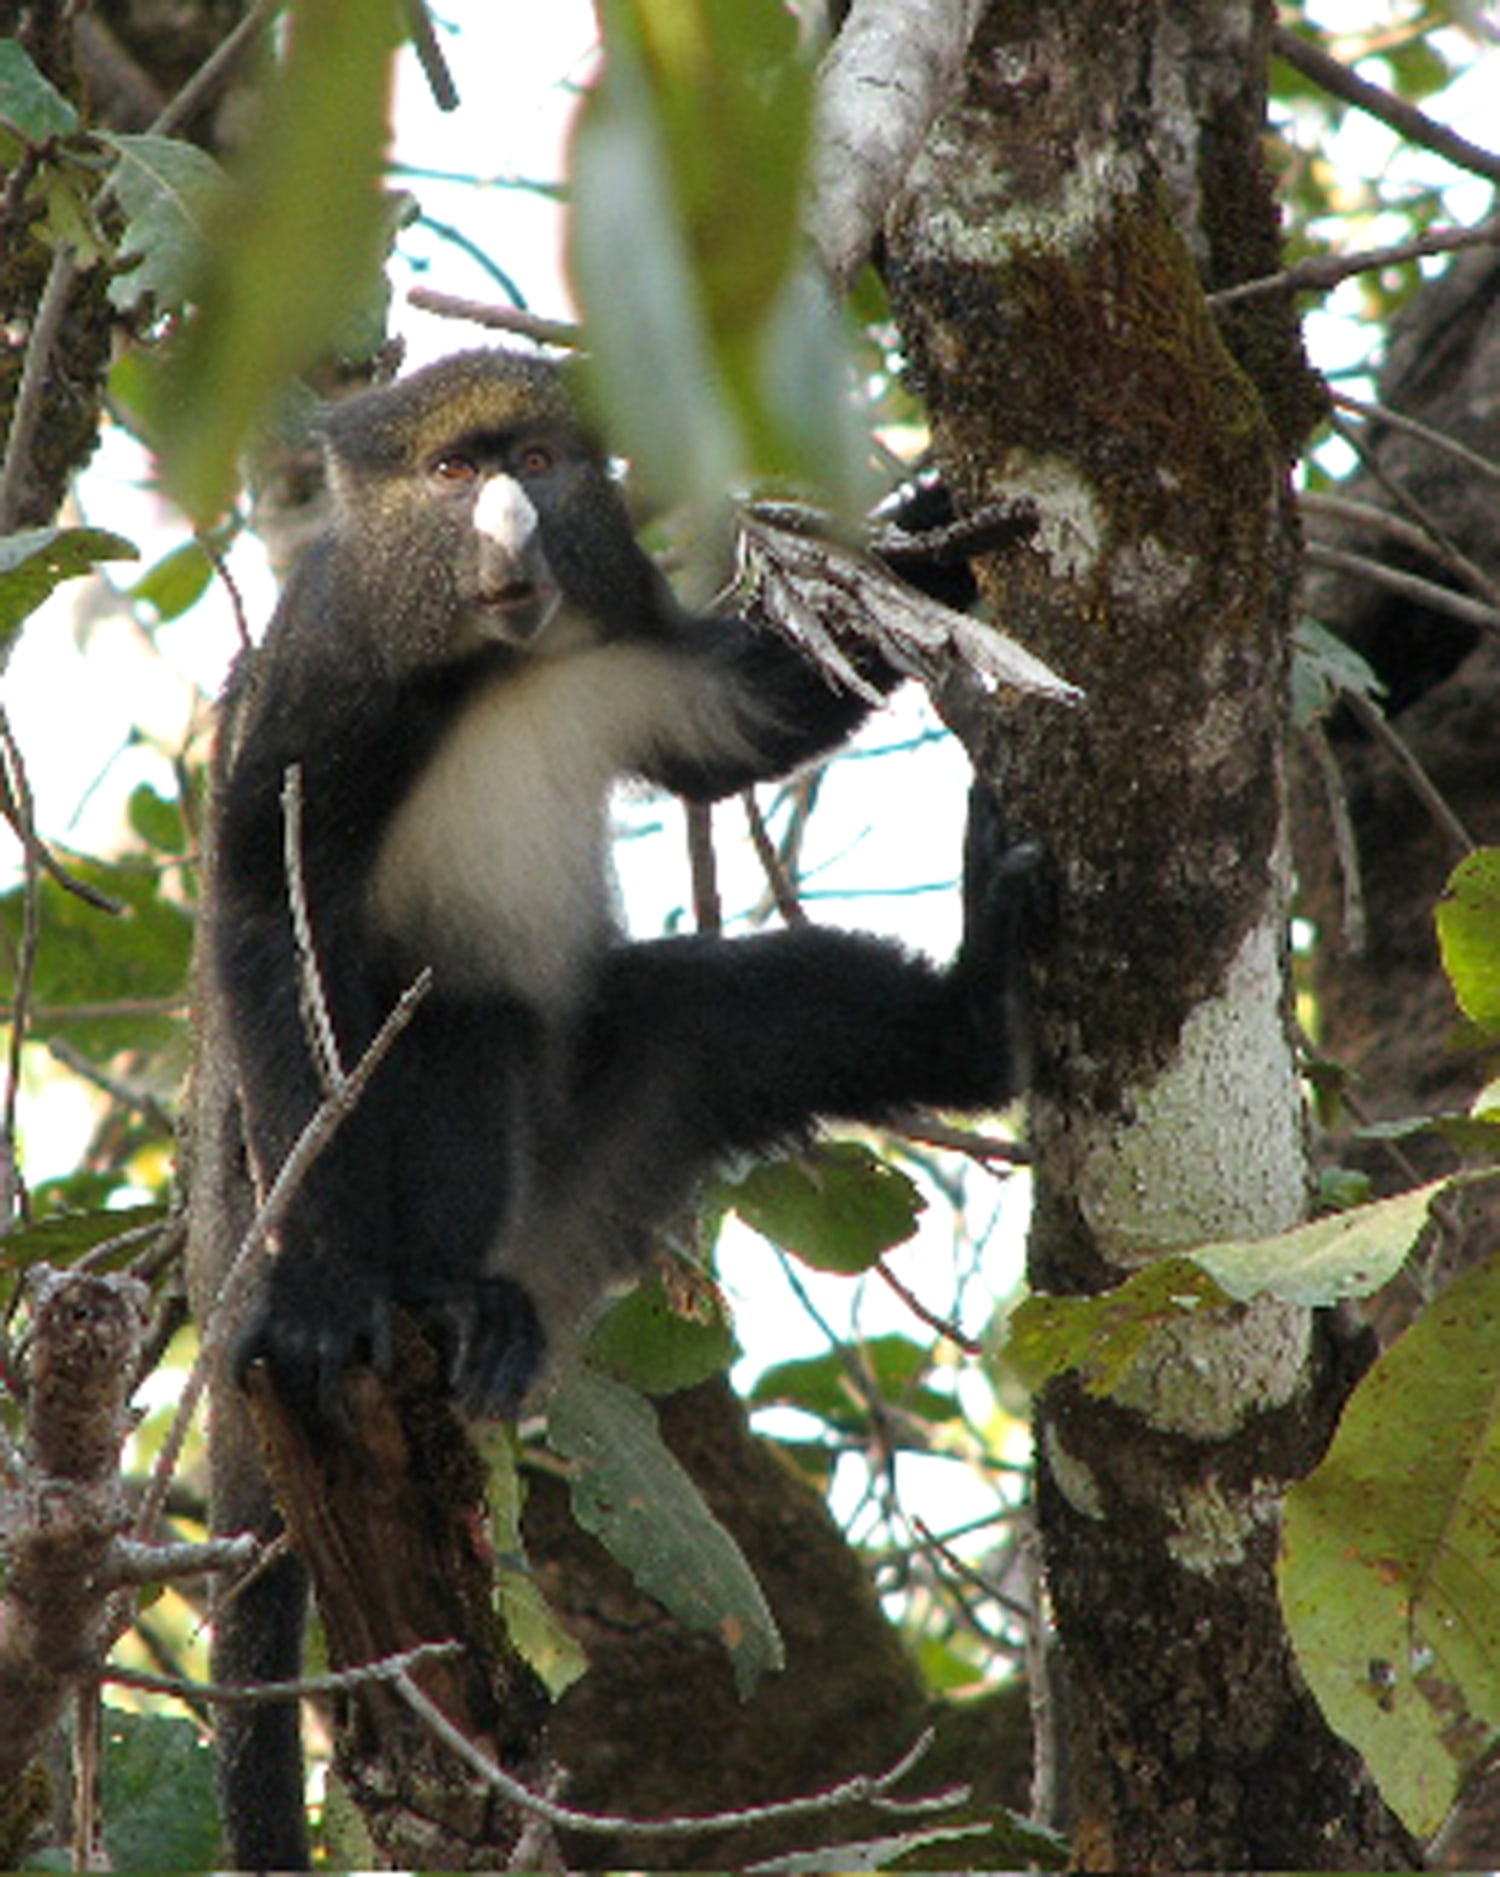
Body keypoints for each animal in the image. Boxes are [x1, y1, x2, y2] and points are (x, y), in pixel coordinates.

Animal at [189, 346, 1033, 1865]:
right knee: (453, 1024)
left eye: (533, 457)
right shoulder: (325, 686)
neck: (494, 671)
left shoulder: (630, 640)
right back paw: (441, 1297)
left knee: (715, 1018)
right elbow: (261, 920)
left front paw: (931, 532)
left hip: (599, 1154)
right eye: (453, 472)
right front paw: (327, 1289)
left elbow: (753, 725)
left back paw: (978, 1017)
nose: (512, 527)